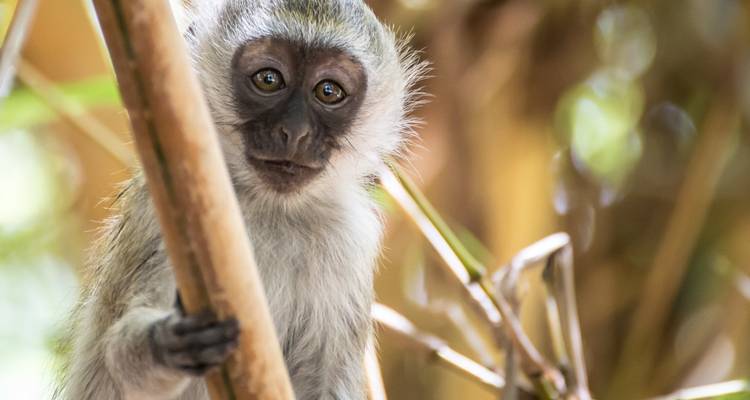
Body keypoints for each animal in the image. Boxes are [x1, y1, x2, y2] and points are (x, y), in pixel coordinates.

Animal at [56, 0, 426, 399]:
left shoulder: (350, 239)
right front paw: (165, 344)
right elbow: (118, 365)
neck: (270, 208)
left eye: (329, 91)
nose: (294, 132)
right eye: (268, 80)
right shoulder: (160, 214)